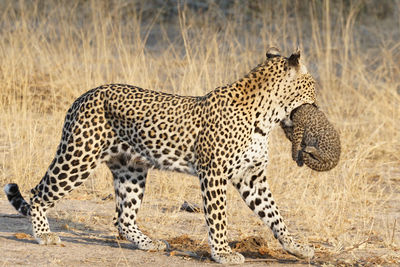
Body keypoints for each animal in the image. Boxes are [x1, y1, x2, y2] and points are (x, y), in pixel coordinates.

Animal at [3, 48, 316, 266]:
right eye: (312, 84)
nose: (317, 101)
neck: (267, 117)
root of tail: (83, 96)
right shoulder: (214, 173)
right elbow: (218, 217)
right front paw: (223, 253)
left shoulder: (251, 177)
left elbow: (275, 214)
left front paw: (297, 247)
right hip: (79, 156)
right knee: (39, 192)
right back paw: (43, 235)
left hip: (130, 169)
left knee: (123, 218)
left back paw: (149, 242)